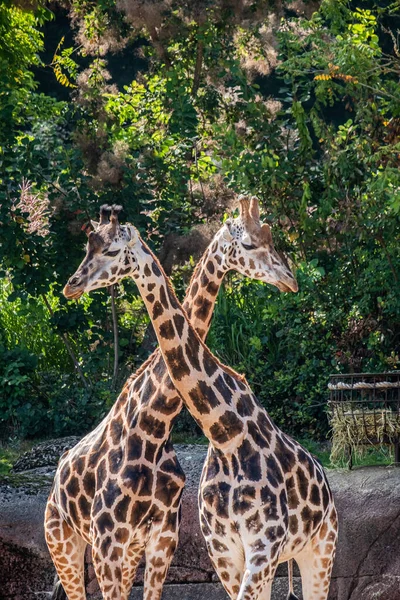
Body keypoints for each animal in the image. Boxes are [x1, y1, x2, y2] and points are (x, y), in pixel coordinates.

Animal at [61, 204, 340, 596]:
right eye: (251, 244)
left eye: (112, 250)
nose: (290, 279)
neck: (225, 435)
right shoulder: (221, 549)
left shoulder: (260, 545)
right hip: (71, 540)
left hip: (320, 547)